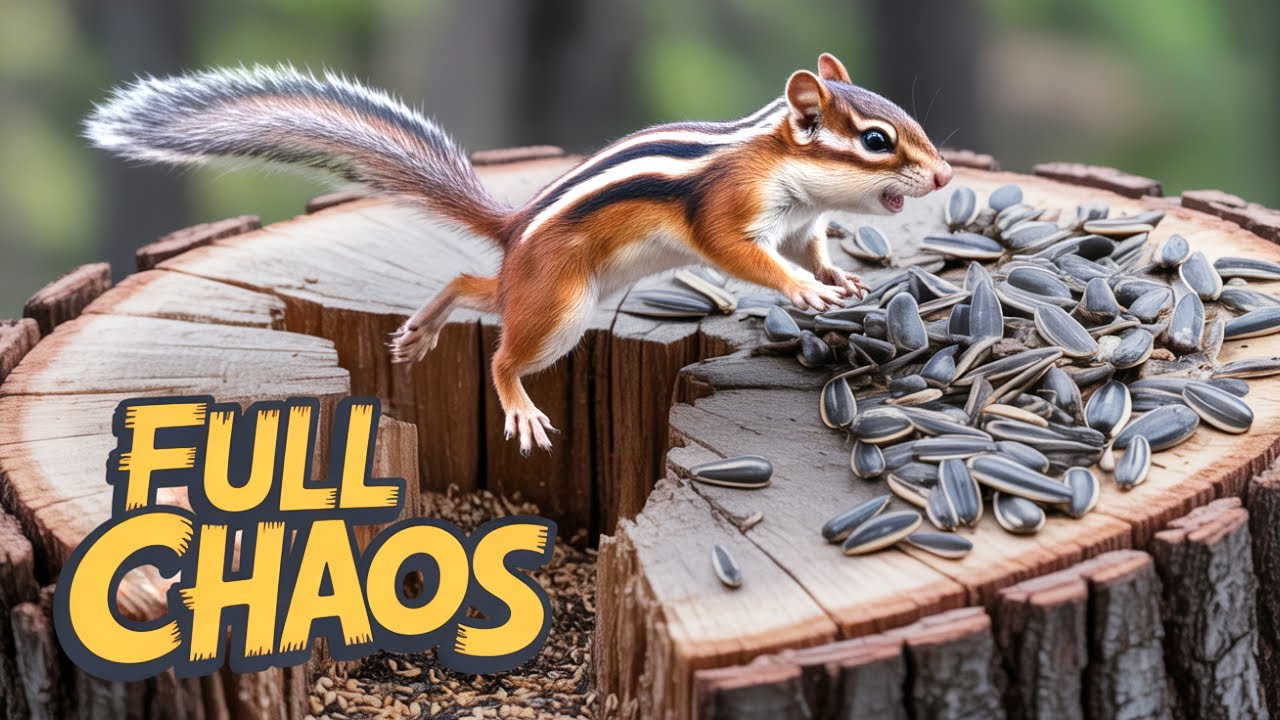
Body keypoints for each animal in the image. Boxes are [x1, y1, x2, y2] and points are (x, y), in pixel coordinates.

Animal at [86, 53, 952, 456]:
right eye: (877, 141)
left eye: (907, 120)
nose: (944, 175)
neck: (780, 166)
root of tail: (514, 230)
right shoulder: (727, 214)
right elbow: (749, 259)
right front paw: (806, 293)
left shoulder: (802, 222)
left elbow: (812, 249)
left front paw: (839, 280)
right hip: (561, 306)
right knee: (503, 349)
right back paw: (518, 407)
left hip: (551, 294)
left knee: (473, 283)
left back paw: (421, 331)